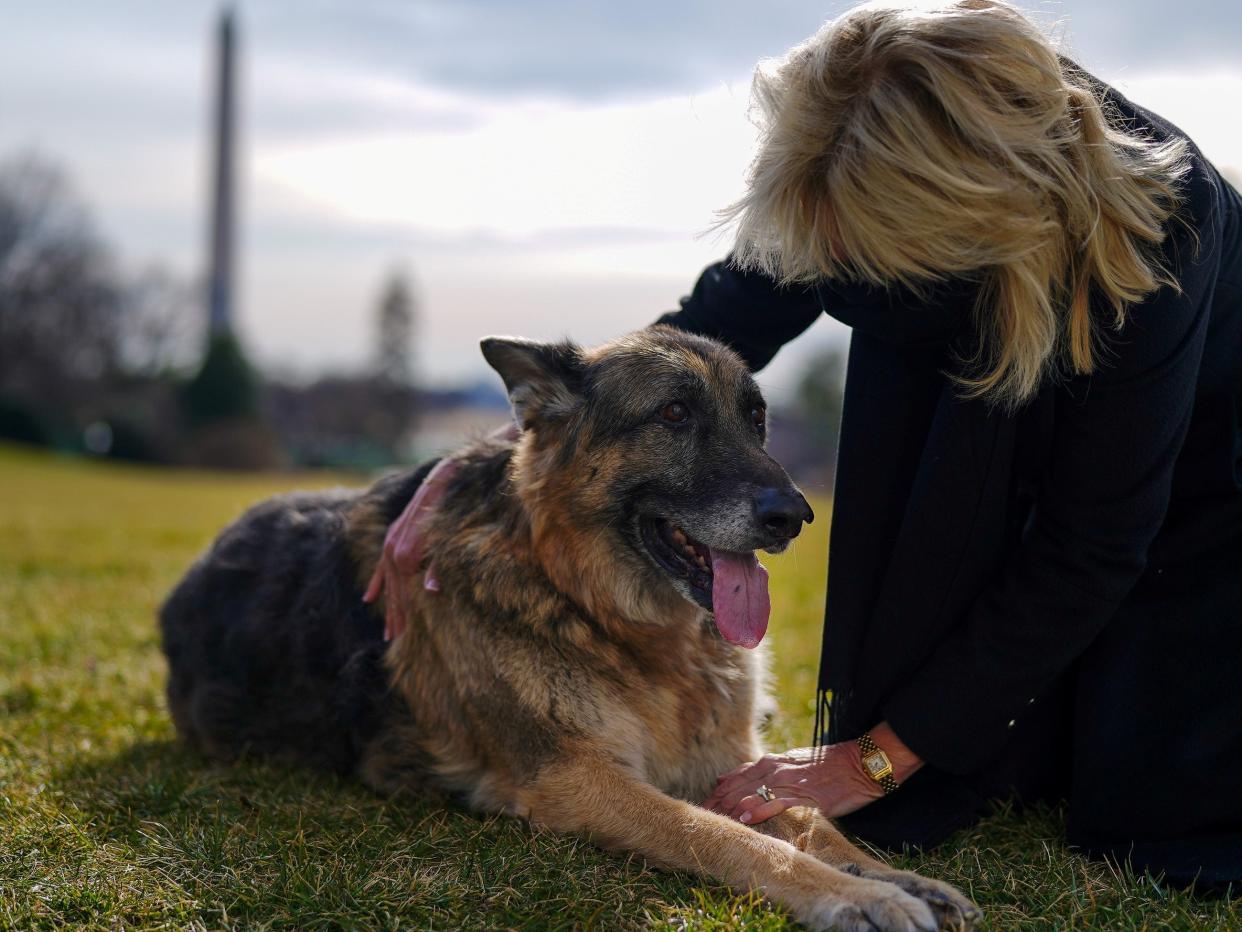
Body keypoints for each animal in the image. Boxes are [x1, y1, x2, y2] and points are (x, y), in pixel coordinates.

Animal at [160, 330, 978, 932]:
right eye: (673, 415)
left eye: (756, 419)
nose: (794, 516)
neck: (599, 610)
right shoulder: (578, 779)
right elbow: (726, 836)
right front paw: (858, 897)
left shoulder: (732, 763)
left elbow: (811, 819)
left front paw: (895, 877)